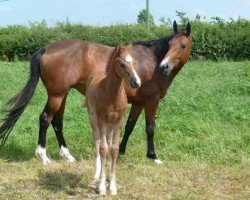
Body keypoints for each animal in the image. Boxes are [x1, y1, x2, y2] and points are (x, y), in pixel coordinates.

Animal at [0, 20, 192, 164]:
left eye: (182, 46)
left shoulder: (138, 102)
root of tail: (46, 48)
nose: (165, 67)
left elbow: (129, 126)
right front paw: (153, 156)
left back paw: (67, 155)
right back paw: (43, 156)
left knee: (57, 122)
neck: (151, 62)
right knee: (45, 119)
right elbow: (150, 128)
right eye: (170, 44)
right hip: (57, 95)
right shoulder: (152, 101)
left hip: (62, 95)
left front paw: (121, 150)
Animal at [85, 44, 141, 195]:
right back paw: (97, 174)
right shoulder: (101, 119)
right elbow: (103, 148)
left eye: (134, 62)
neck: (111, 93)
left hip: (110, 124)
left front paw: (113, 185)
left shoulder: (119, 120)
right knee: (97, 140)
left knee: (109, 143)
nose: (136, 82)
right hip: (93, 118)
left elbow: (114, 149)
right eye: (121, 64)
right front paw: (102, 187)